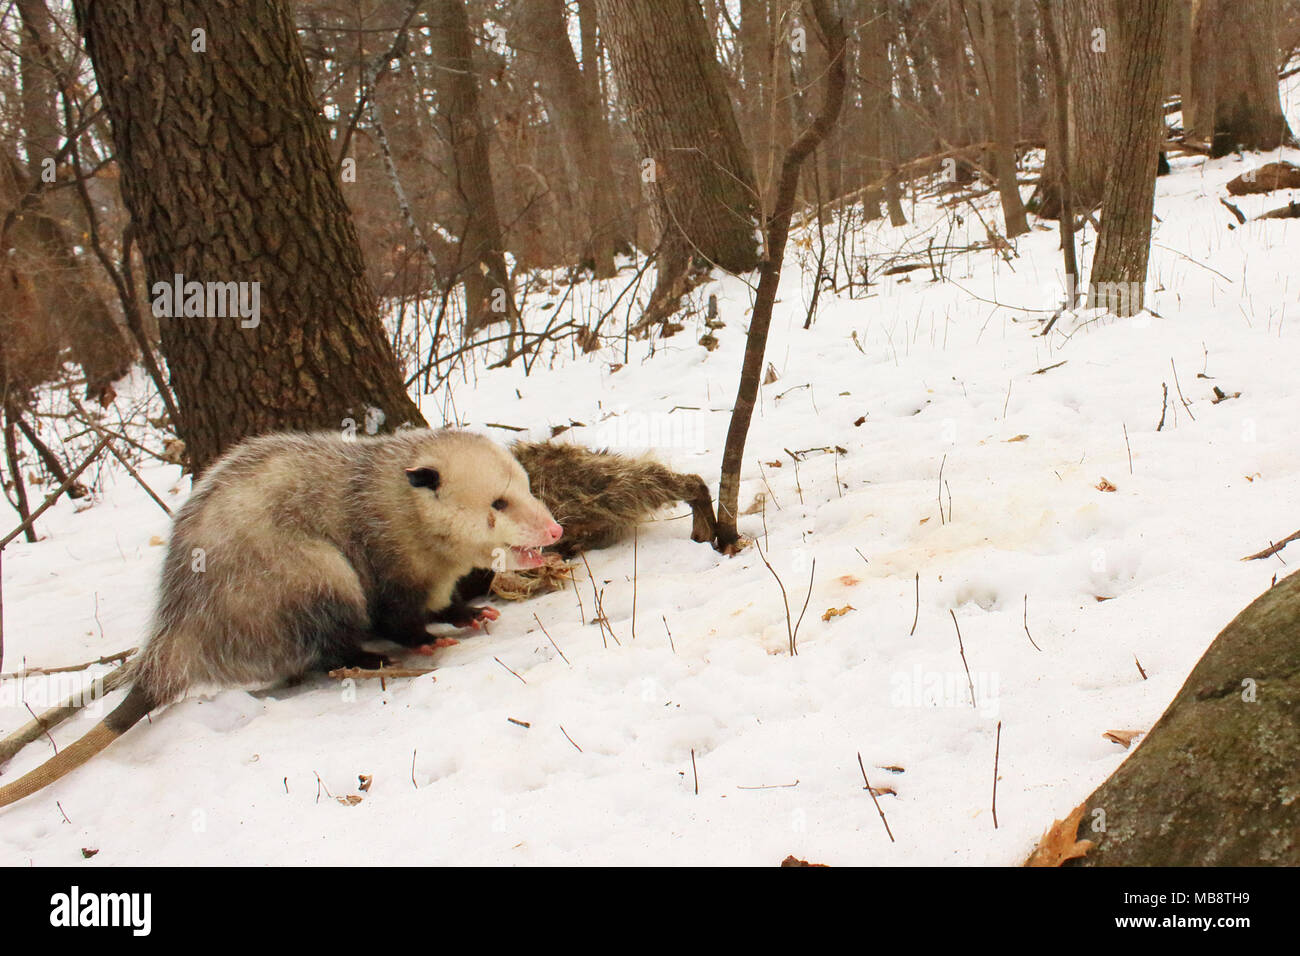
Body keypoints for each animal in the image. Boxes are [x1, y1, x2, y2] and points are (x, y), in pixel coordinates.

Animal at [0, 429, 559, 806]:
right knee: (326, 646)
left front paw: (469, 613)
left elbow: (443, 603)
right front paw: (425, 638)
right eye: (498, 503)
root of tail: (176, 637)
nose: (554, 531)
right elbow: (394, 616)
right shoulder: (387, 560)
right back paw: (369, 660)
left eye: (525, 486)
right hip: (309, 574)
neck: (404, 507)